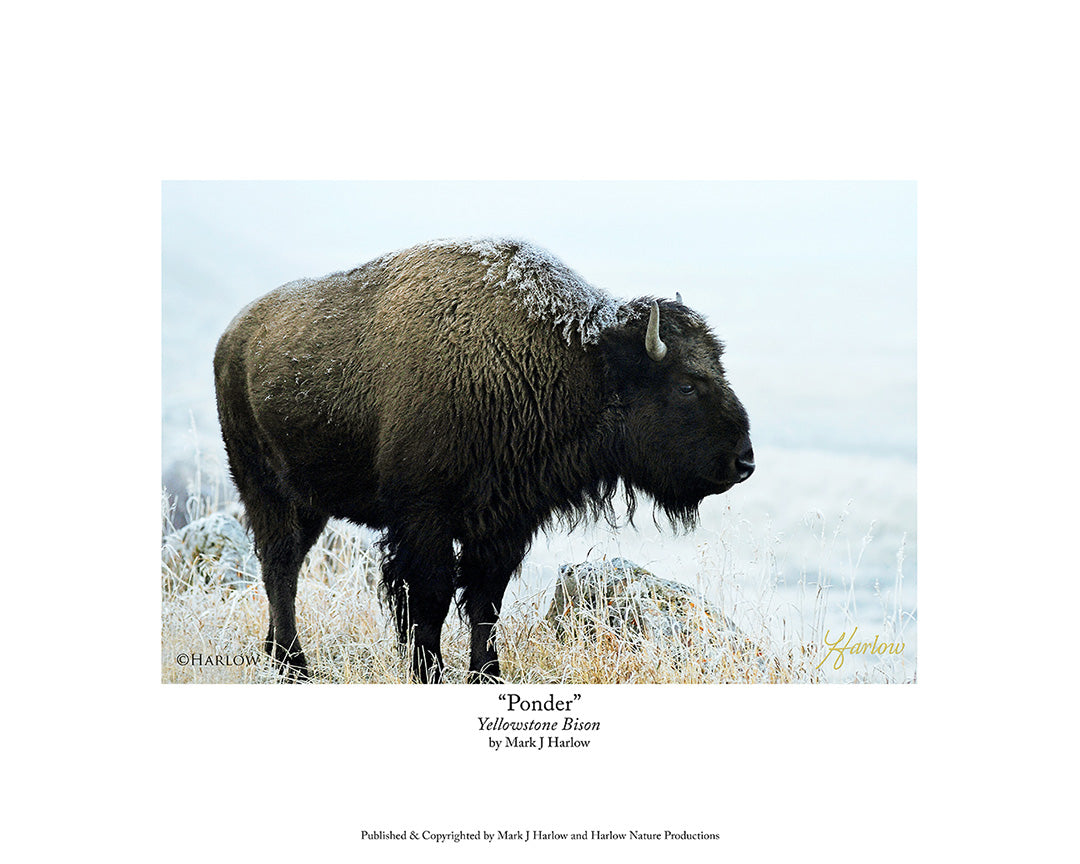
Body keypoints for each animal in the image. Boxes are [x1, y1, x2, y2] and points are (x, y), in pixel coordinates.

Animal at [214, 238, 754, 682]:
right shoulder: (424, 520)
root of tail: (232, 339)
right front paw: (429, 673)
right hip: (266, 491)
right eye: (686, 385)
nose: (744, 462)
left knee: (285, 567)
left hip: (309, 504)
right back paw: (294, 665)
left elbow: (485, 602)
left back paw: (279, 656)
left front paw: (486, 674)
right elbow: (430, 598)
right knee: (280, 566)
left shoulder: (503, 523)